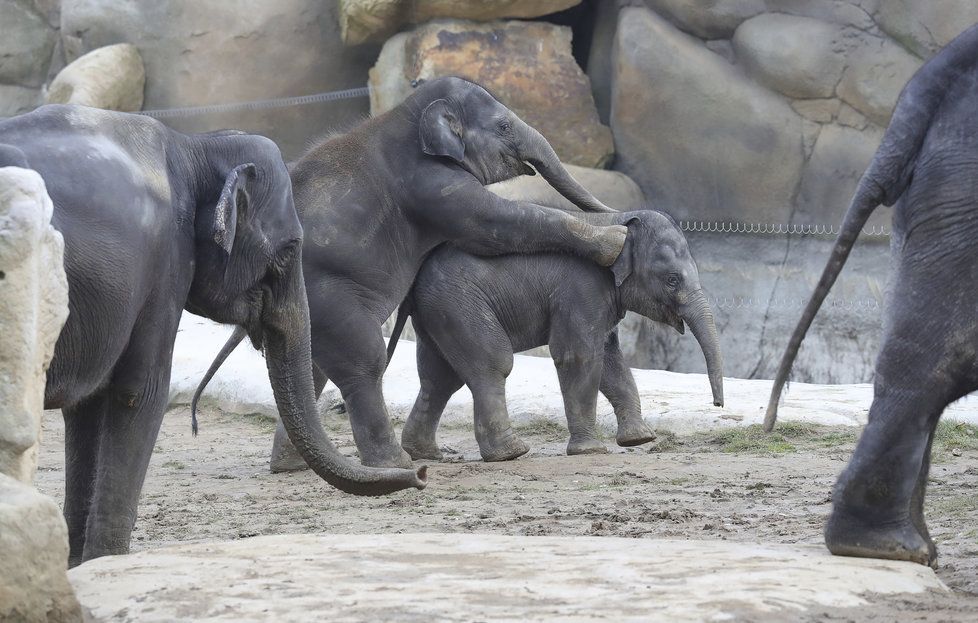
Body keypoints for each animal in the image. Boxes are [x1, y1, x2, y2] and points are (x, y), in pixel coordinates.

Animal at [0, 106, 424, 564]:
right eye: (291, 249)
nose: (419, 474)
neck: (195, 147)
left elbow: (88, 407)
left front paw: (78, 564)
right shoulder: (164, 265)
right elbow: (138, 393)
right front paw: (106, 562)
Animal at [197, 75, 624, 470]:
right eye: (503, 126)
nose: (624, 216)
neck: (405, 112)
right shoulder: (430, 182)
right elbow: (493, 225)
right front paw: (615, 240)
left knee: (313, 369)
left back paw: (295, 466)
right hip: (326, 298)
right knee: (364, 361)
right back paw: (395, 464)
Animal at [386, 210, 720, 464]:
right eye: (672, 280)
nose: (718, 404)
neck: (618, 218)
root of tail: (414, 280)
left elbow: (610, 362)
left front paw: (640, 439)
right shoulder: (580, 290)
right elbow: (579, 356)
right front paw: (591, 451)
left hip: (438, 313)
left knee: (440, 378)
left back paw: (425, 454)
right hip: (459, 304)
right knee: (492, 364)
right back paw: (511, 453)